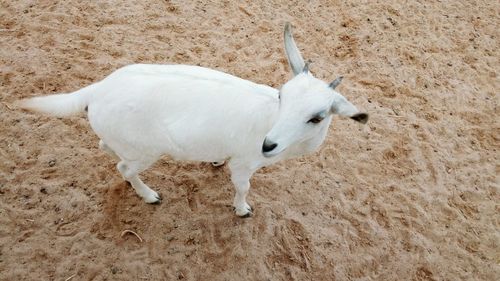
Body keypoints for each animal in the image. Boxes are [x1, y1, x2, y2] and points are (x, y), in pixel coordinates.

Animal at [17, 24, 368, 217]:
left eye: (317, 117)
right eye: (282, 95)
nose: (268, 144)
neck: (269, 117)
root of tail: (97, 89)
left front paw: (214, 162)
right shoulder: (245, 163)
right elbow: (243, 187)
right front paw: (242, 210)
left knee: (107, 147)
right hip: (146, 152)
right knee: (124, 168)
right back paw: (149, 195)